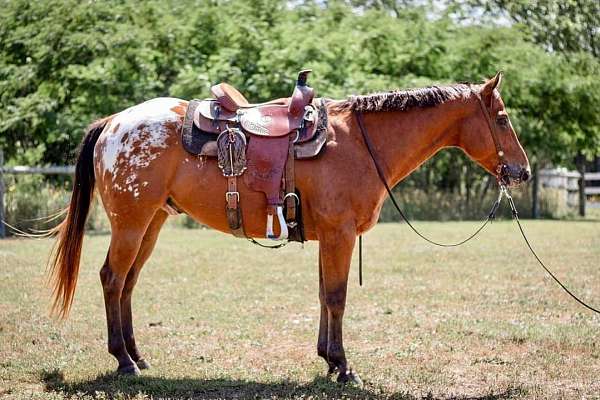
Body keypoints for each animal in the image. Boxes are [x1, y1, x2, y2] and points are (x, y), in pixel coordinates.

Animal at [50, 72, 528, 382]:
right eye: (502, 118)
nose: (521, 171)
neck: (360, 143)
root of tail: (113, 123)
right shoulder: (339, 235)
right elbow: (336, 298)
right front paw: (343, 367)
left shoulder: (328, 238)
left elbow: (323, 296)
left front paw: (328, 359)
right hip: (130, 224)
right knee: (112, 279)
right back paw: (124, 361)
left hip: (150, 224)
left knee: (128, 283)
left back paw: (137, 356)